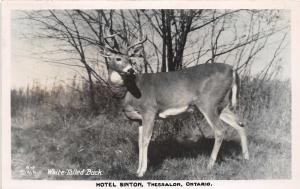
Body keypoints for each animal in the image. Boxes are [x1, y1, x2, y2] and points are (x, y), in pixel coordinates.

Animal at [102, 36, 250, 177]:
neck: (129, 90)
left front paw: (142, 172)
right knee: (240, 124)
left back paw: (209, 165)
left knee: (220, 130)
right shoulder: (139, 119)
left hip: (208, 101)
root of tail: (232, 69)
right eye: (118, 58)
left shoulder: (149, 110)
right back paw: (246, 158)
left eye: (130, 59)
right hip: (221, 105)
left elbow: (145, 140)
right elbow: (139, 142)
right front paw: (137, 170)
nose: (130, 70)